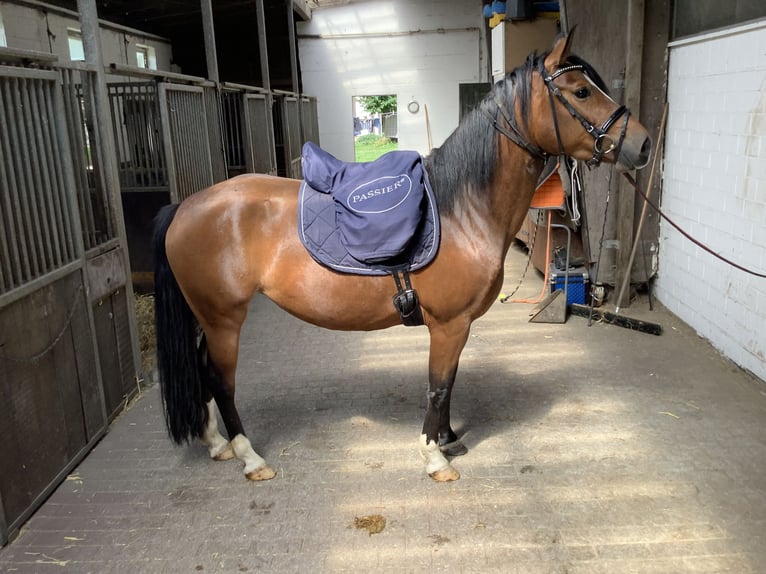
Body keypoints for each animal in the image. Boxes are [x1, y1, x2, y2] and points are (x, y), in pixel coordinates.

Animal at [154, 29, 656, 484]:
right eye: (581, 91)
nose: (644, 144)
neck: (462, 210)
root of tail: (186, 206)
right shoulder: (449, 324)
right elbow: (437, 386)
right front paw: (435, 457)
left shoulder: (458, 326)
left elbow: (449, 382)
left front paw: (449, 438)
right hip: (224, 319)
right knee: (221, 381)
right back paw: (249, 457)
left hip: (206, 319)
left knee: (203, 374)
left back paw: (216, 443)